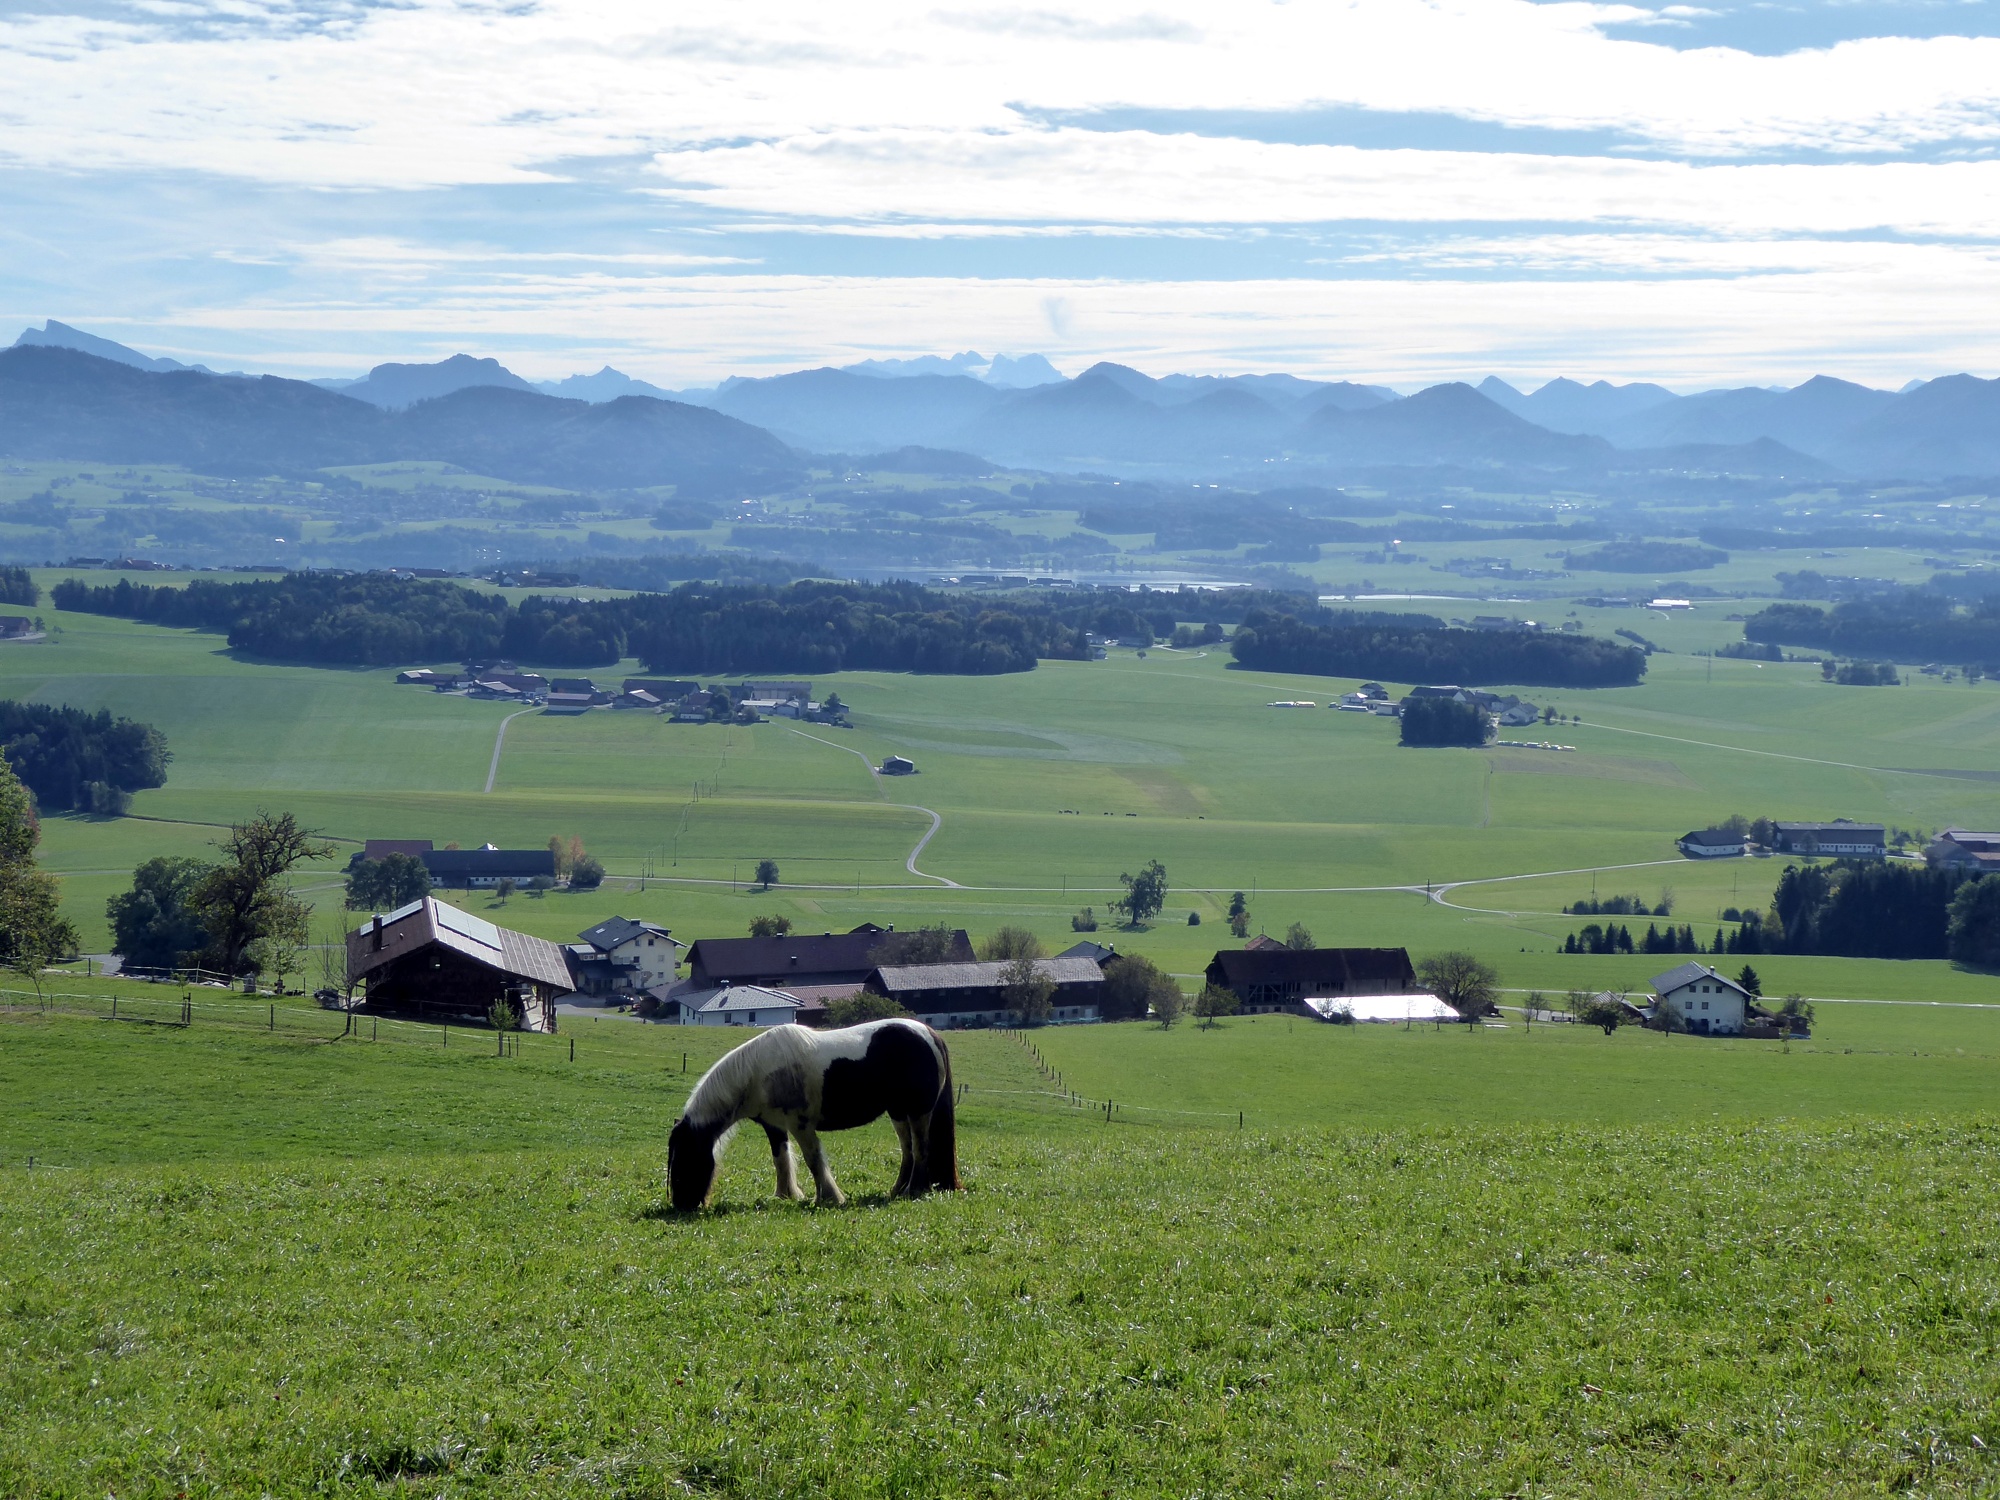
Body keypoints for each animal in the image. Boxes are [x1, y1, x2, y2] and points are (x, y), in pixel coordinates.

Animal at [664, 1016, 960, 1216]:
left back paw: (913, 1190)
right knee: (907, 1150)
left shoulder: (801, 1125)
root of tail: (930, 1034)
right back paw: (897, 1189)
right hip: (898, 1112)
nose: (682, 1205)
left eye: (685, 1158)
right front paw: (785, 1195)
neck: (758, 1073)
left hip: (919, 1111)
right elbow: (781, 1160)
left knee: (920, 1149)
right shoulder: (774, 1125)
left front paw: (828, 1198)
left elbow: (813, 1160)